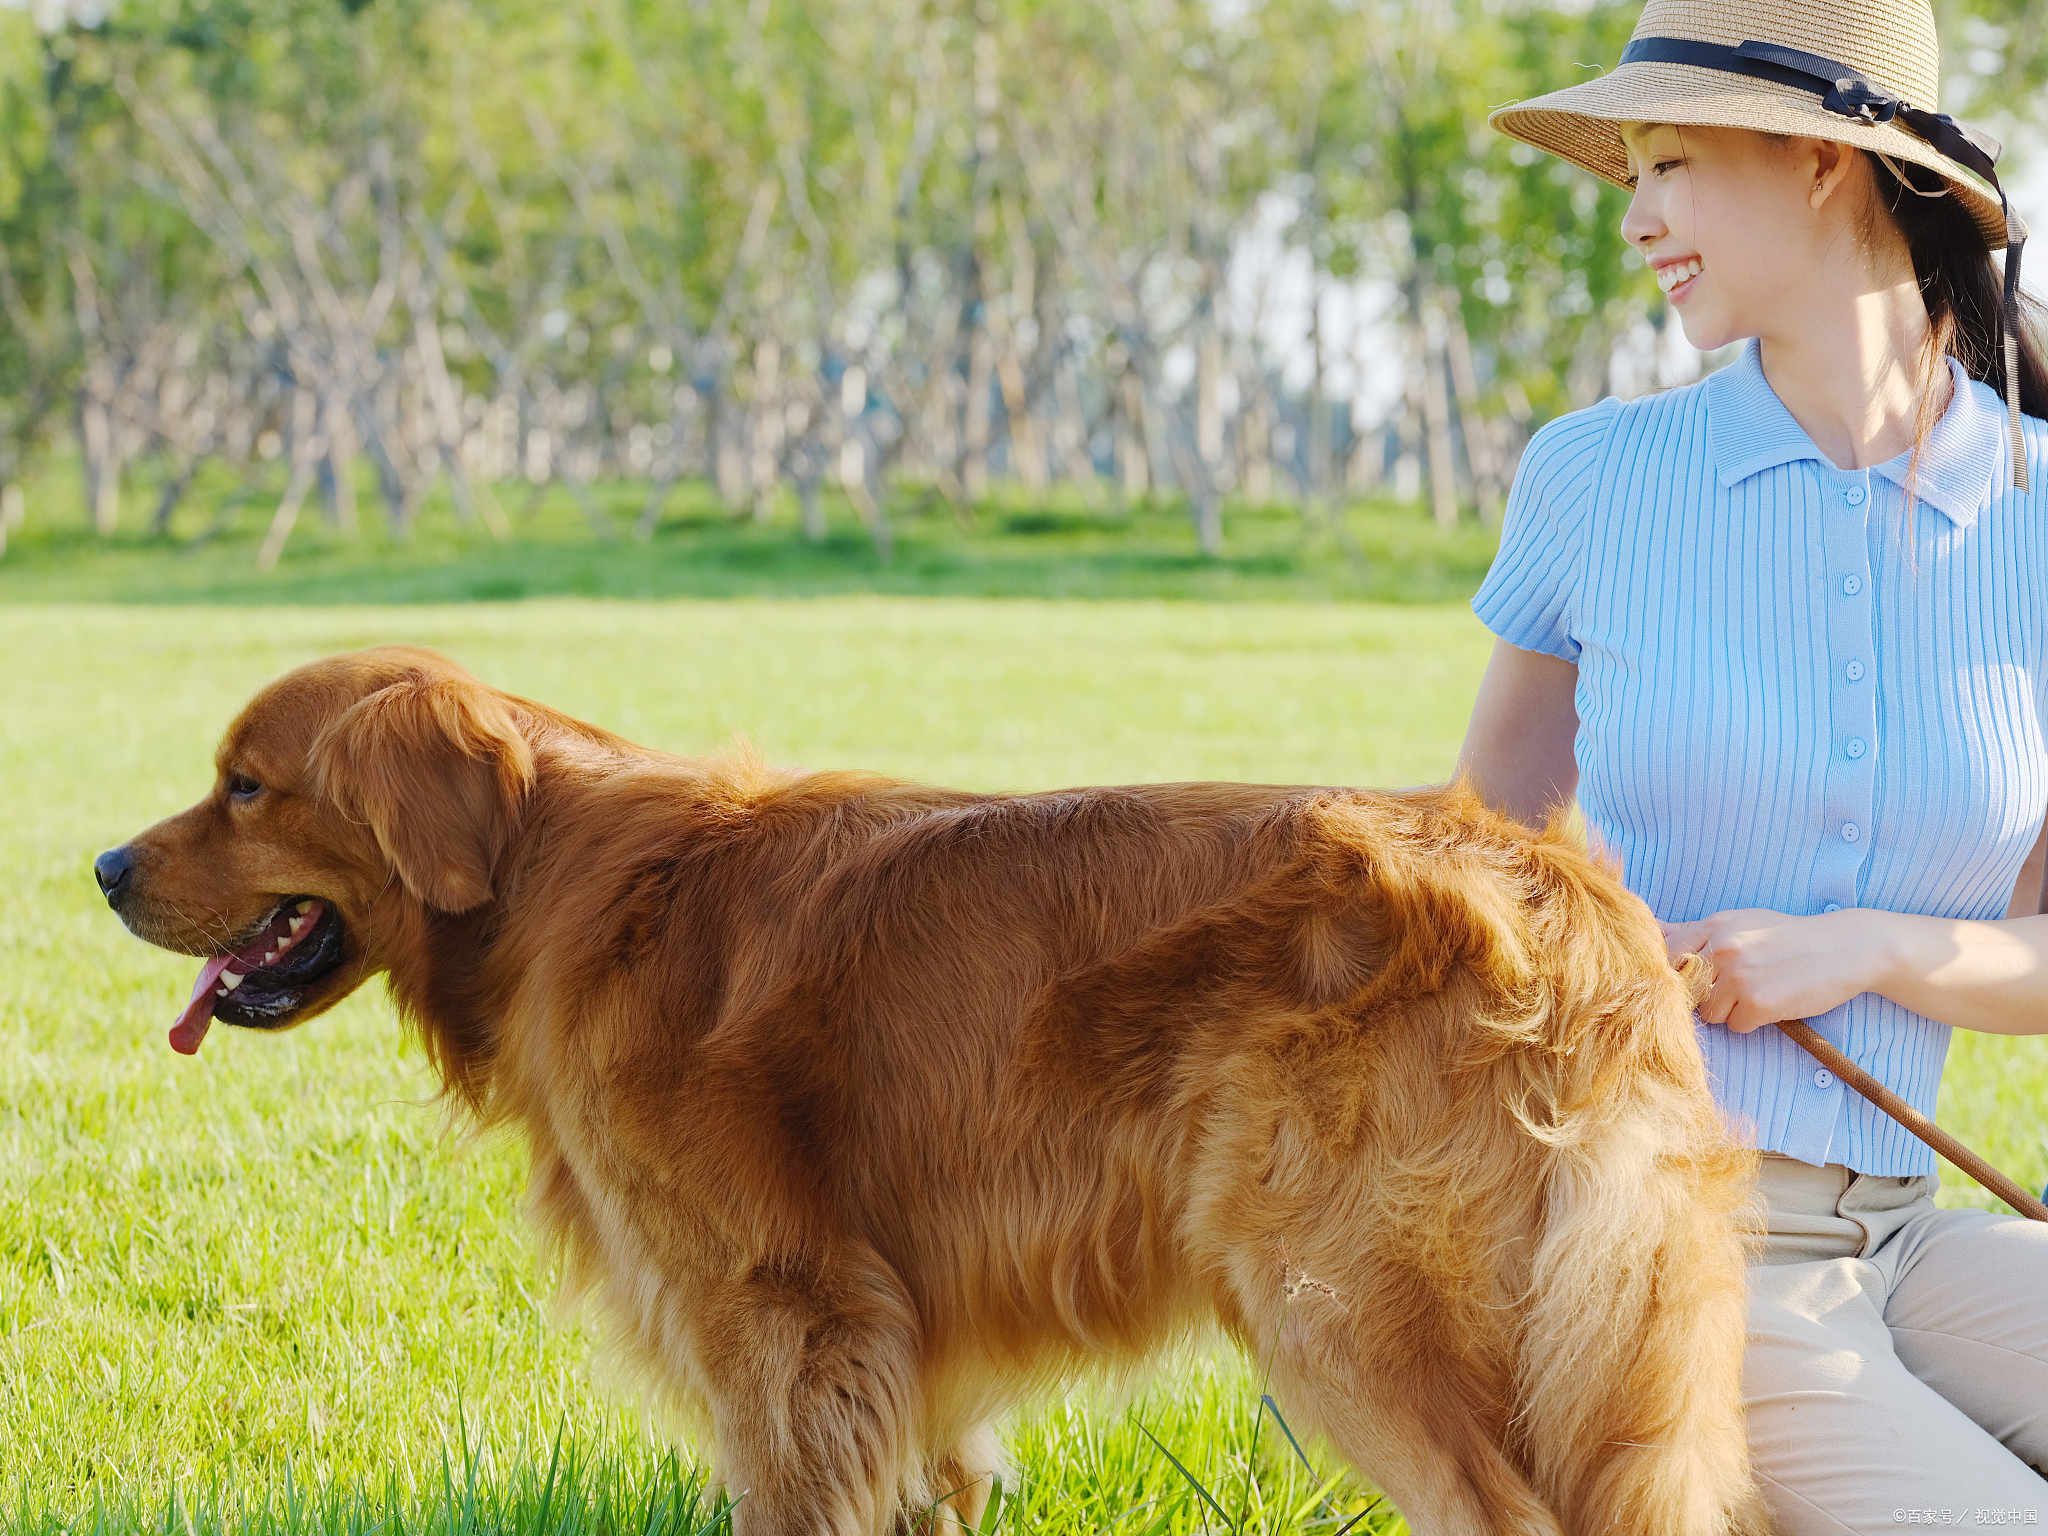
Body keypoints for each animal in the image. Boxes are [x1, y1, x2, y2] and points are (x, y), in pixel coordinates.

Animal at [92, 651, 1761, 1536]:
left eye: (247, 784)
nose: (101, 867)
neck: (545, 875)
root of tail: (1558, 890)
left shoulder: (787, 1326)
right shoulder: (906, 1369)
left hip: (1338, 1310)